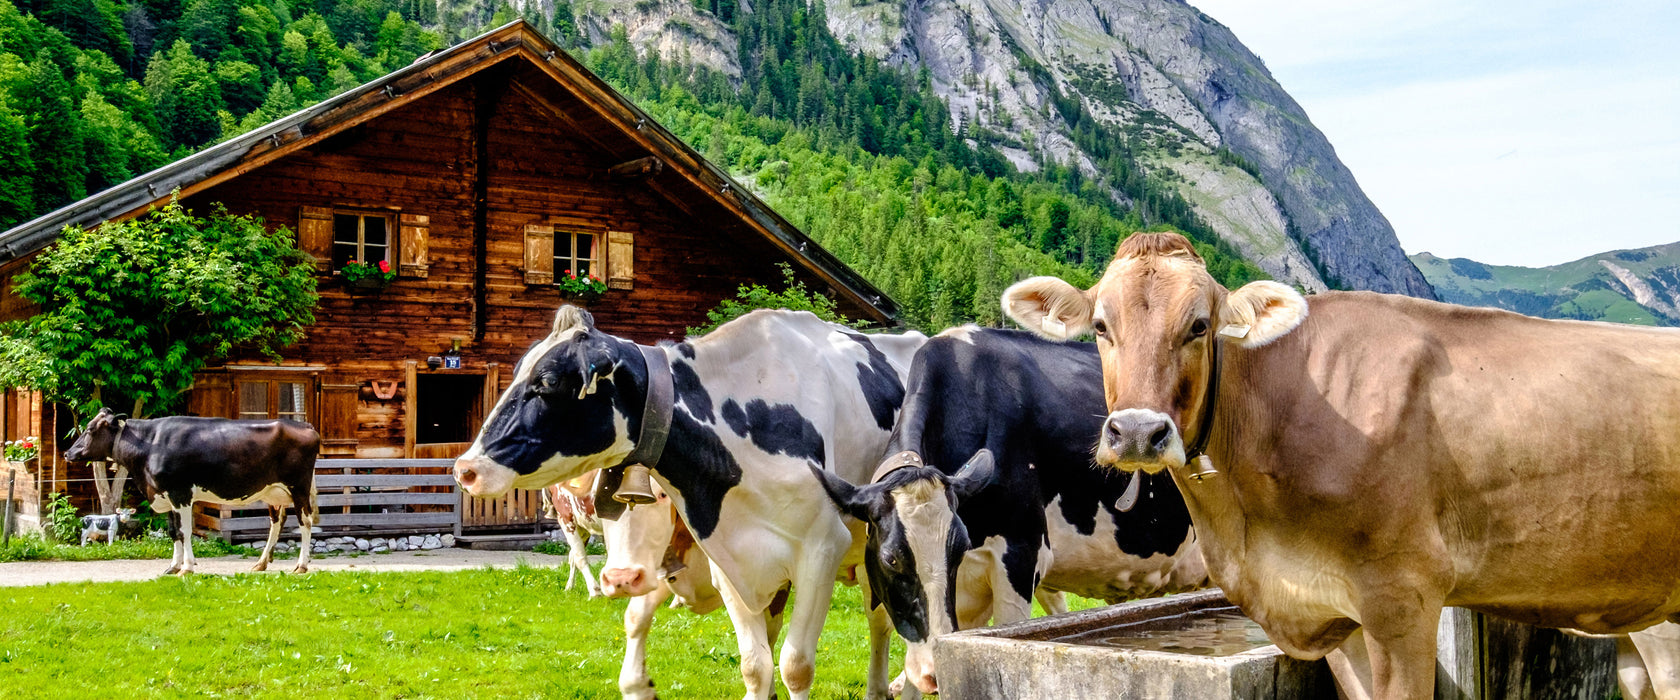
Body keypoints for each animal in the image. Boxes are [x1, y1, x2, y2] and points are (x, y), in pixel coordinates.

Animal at [62, 402, 320, 574]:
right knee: (276, 522)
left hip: (299, 487)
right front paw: (172, 567)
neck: (150, 444)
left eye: (91, 429)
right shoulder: (165, 495)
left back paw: (301, 565)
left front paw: (186, 567)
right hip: (273, 492)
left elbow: (185, 531)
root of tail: (305, 426)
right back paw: (261, 563)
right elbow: (173, 532)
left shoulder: (181, 493)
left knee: (305, 522)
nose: (67, 453)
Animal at [453, 307, 927, 698]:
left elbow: (795, 666)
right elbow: (755, 666)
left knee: (892, 625)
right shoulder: (729, 560)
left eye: (548, 382)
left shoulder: (821, 549)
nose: (464, 469)